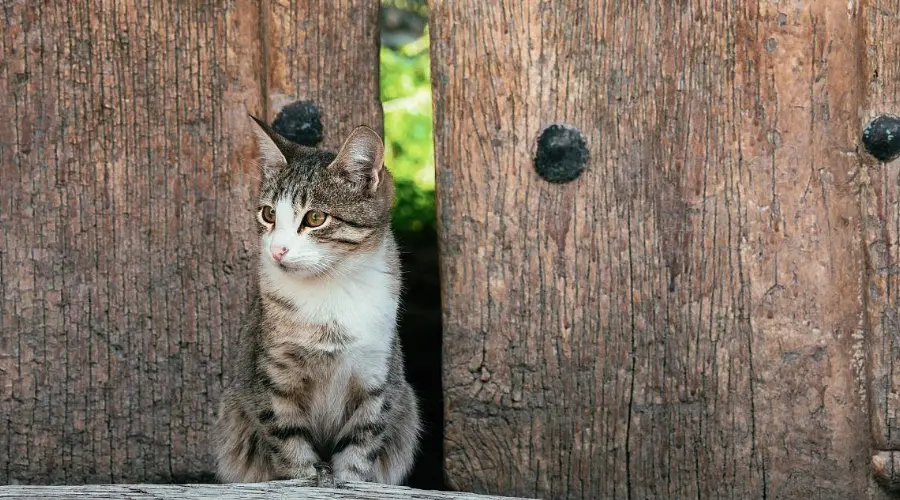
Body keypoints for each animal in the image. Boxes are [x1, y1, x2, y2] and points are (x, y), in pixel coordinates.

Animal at [213, 116, 420, 484]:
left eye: (314, 218)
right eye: (268, 214)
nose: (277, 250)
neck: (330, 288)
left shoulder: (376, 375)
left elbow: (360, 446)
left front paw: (349, 480)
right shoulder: (273, 379)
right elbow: (289, 441)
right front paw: (308, 476)